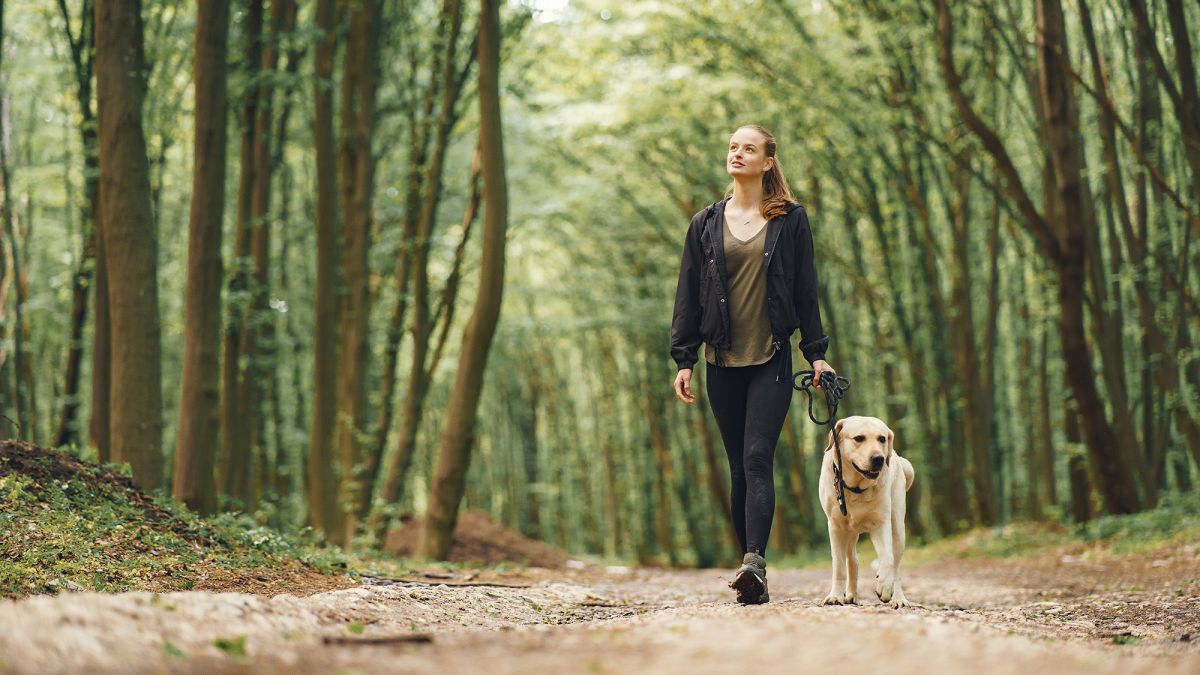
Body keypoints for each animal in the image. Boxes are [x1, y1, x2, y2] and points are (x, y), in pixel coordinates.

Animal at [820, 413, 912, 607]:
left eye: (882, 439)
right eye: (859, 438)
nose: (878, 458)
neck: (856, 488)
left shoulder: (881, 524)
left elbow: (888, 558)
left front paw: (884, 586)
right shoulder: (835, 526)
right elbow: (839, 566)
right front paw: (835, 596)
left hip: (898, 527)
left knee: (896, 565)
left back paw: (899, 598)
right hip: (849, 532)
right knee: (852, 560)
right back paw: (851, 595)